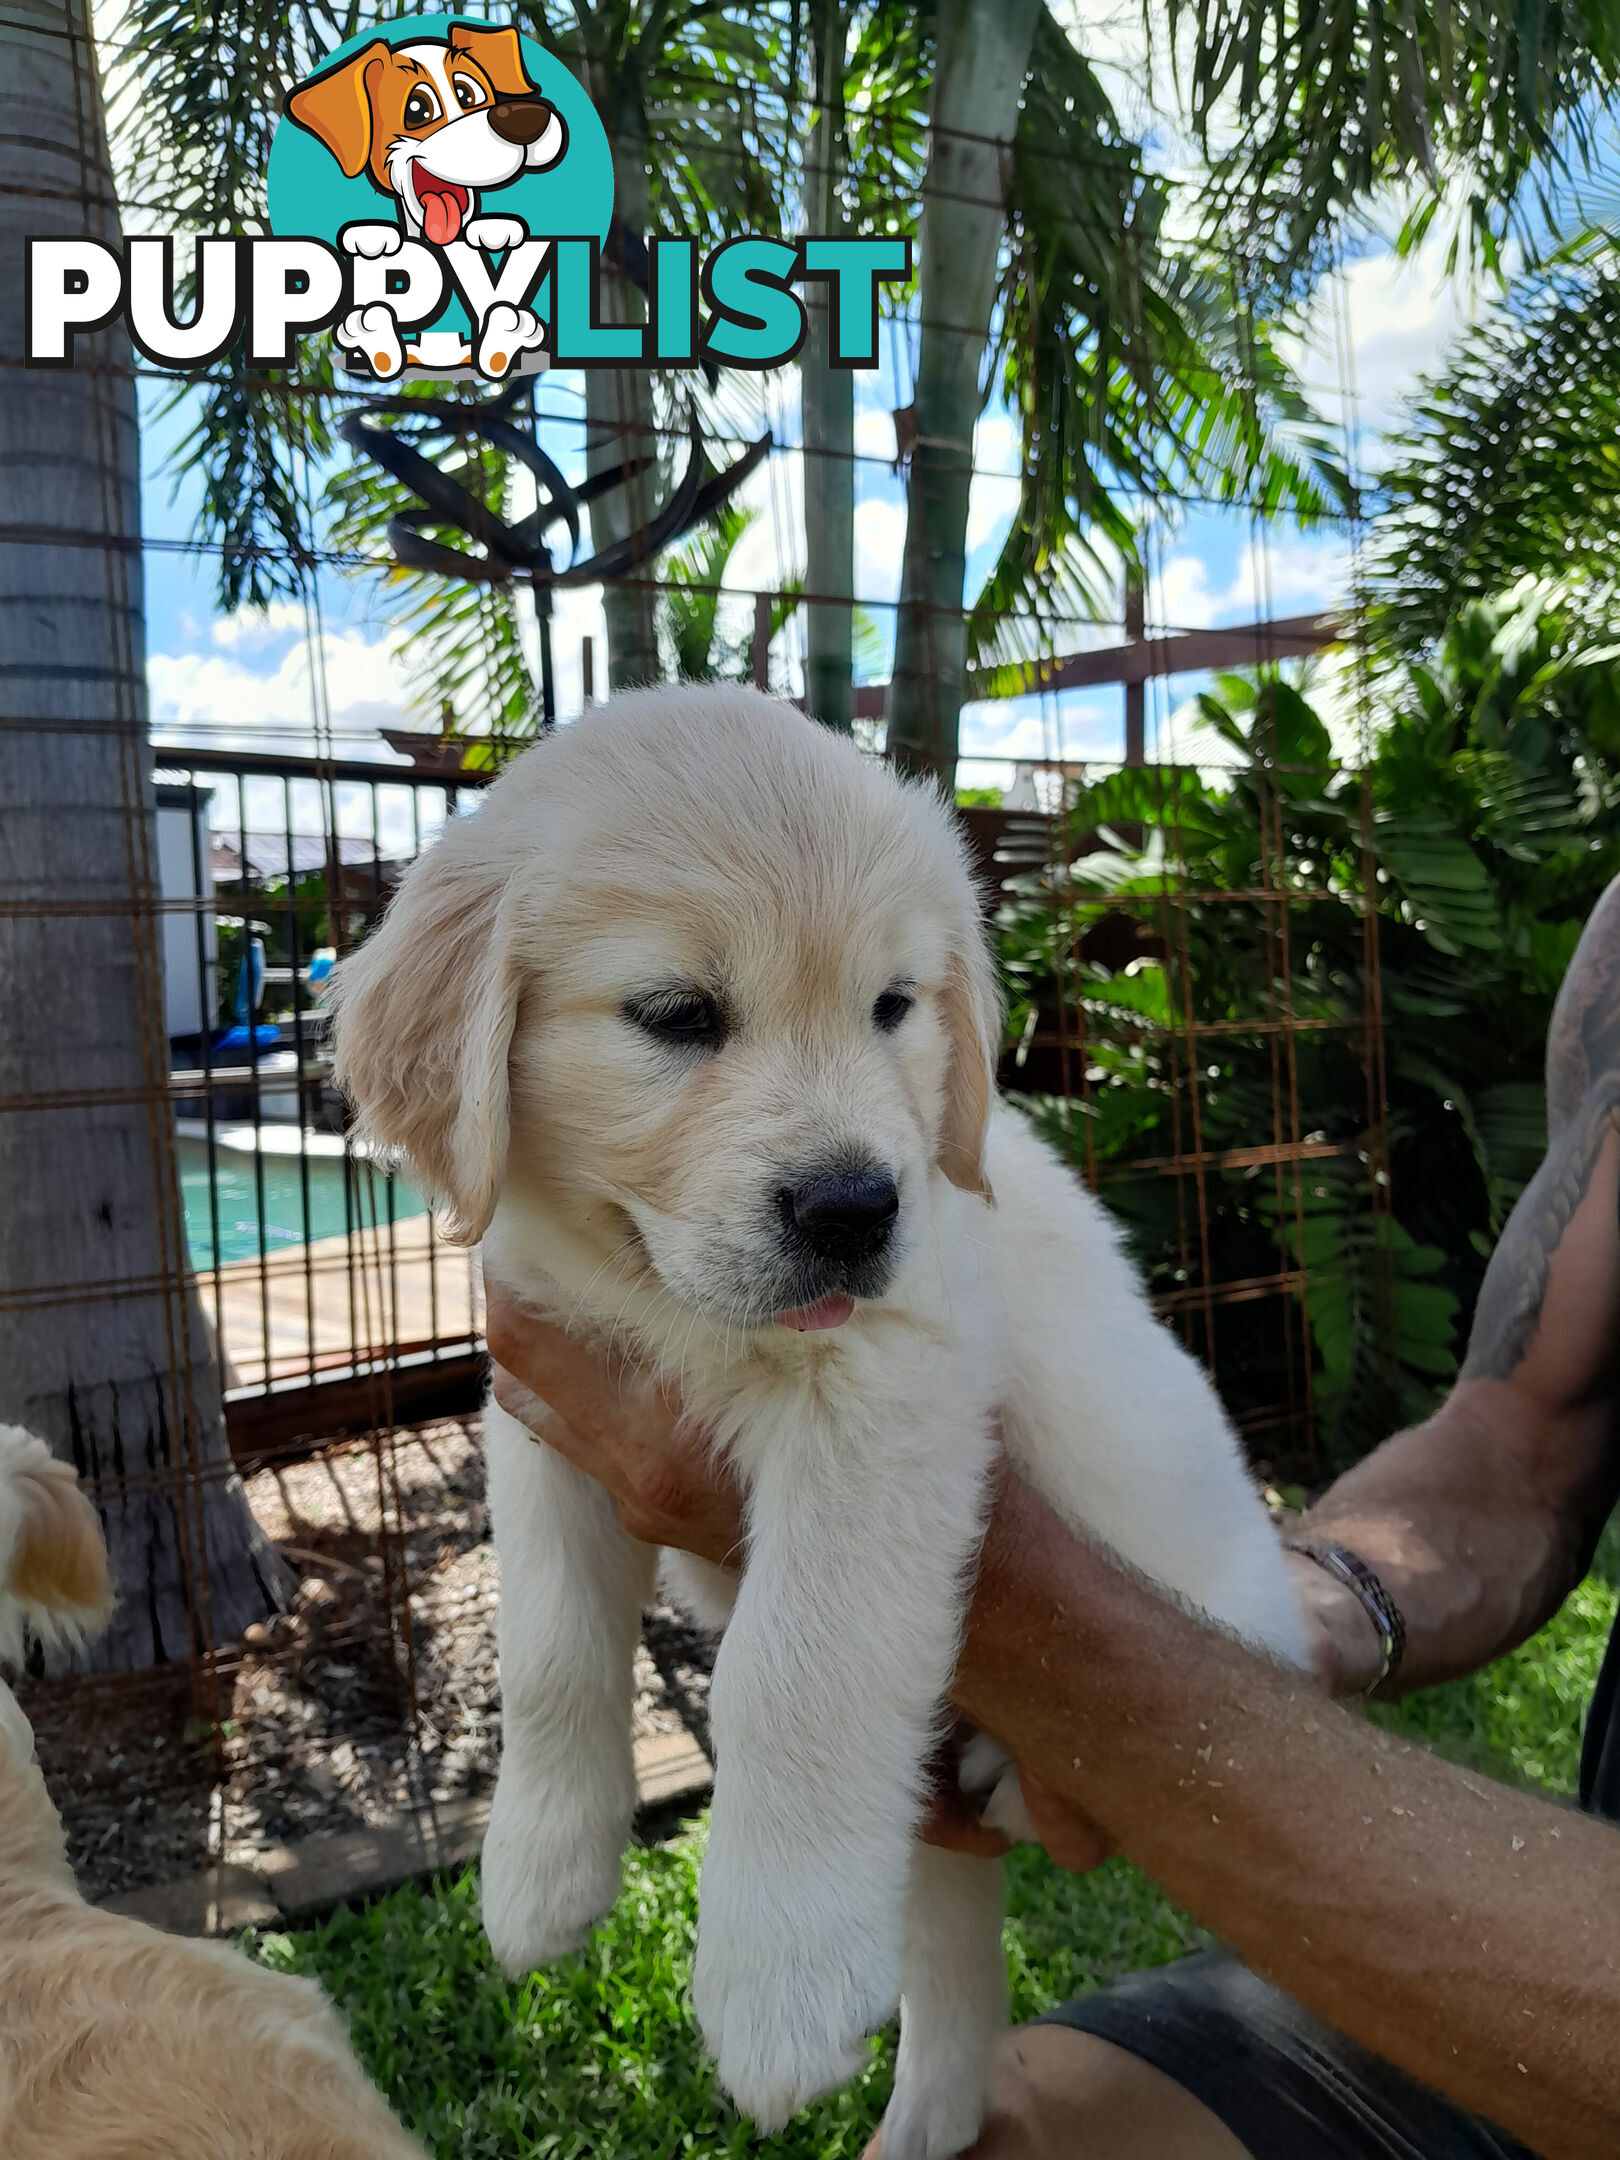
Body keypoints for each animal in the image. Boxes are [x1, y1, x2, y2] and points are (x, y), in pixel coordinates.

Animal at [330, 691, 1304, 2160]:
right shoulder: (549, 1406)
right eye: (677, 1015)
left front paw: (772, 1989)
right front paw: (540, 1870)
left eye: (893, 1007)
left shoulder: (884, 1404)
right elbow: (551, 1647)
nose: (855, 1210)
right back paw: (925, 2123)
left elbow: (794, 1673)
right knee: (954, 1954)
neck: (664, 1302)